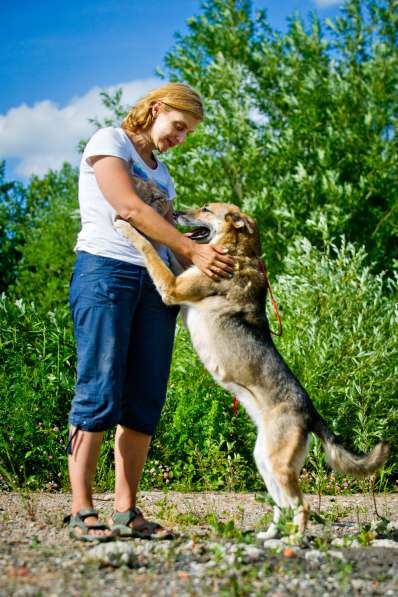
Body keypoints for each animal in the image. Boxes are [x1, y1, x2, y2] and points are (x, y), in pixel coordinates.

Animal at [113, 203, 390, 536]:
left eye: (205, 208)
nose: (177, 212)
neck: (237, 253)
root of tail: (311, 413)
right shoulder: (181, 278)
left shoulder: (172, 287)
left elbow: (148, 247)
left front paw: (127, 226)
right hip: (265, 461)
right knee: (283, 507)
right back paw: (269, 536)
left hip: (277, 465)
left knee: (301, 507)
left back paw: (293, 542)